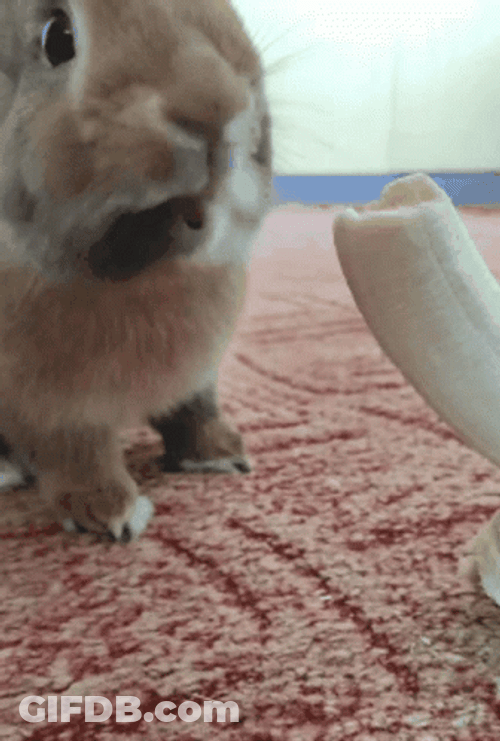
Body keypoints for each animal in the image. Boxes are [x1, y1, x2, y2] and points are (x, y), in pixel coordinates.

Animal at [0, 0, 273, 541]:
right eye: (57, 38)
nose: (214, 106)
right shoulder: (55, 407)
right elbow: (79, 455)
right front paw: (111, 514)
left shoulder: (198, 378)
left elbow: (195, 410)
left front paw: (220, 456)